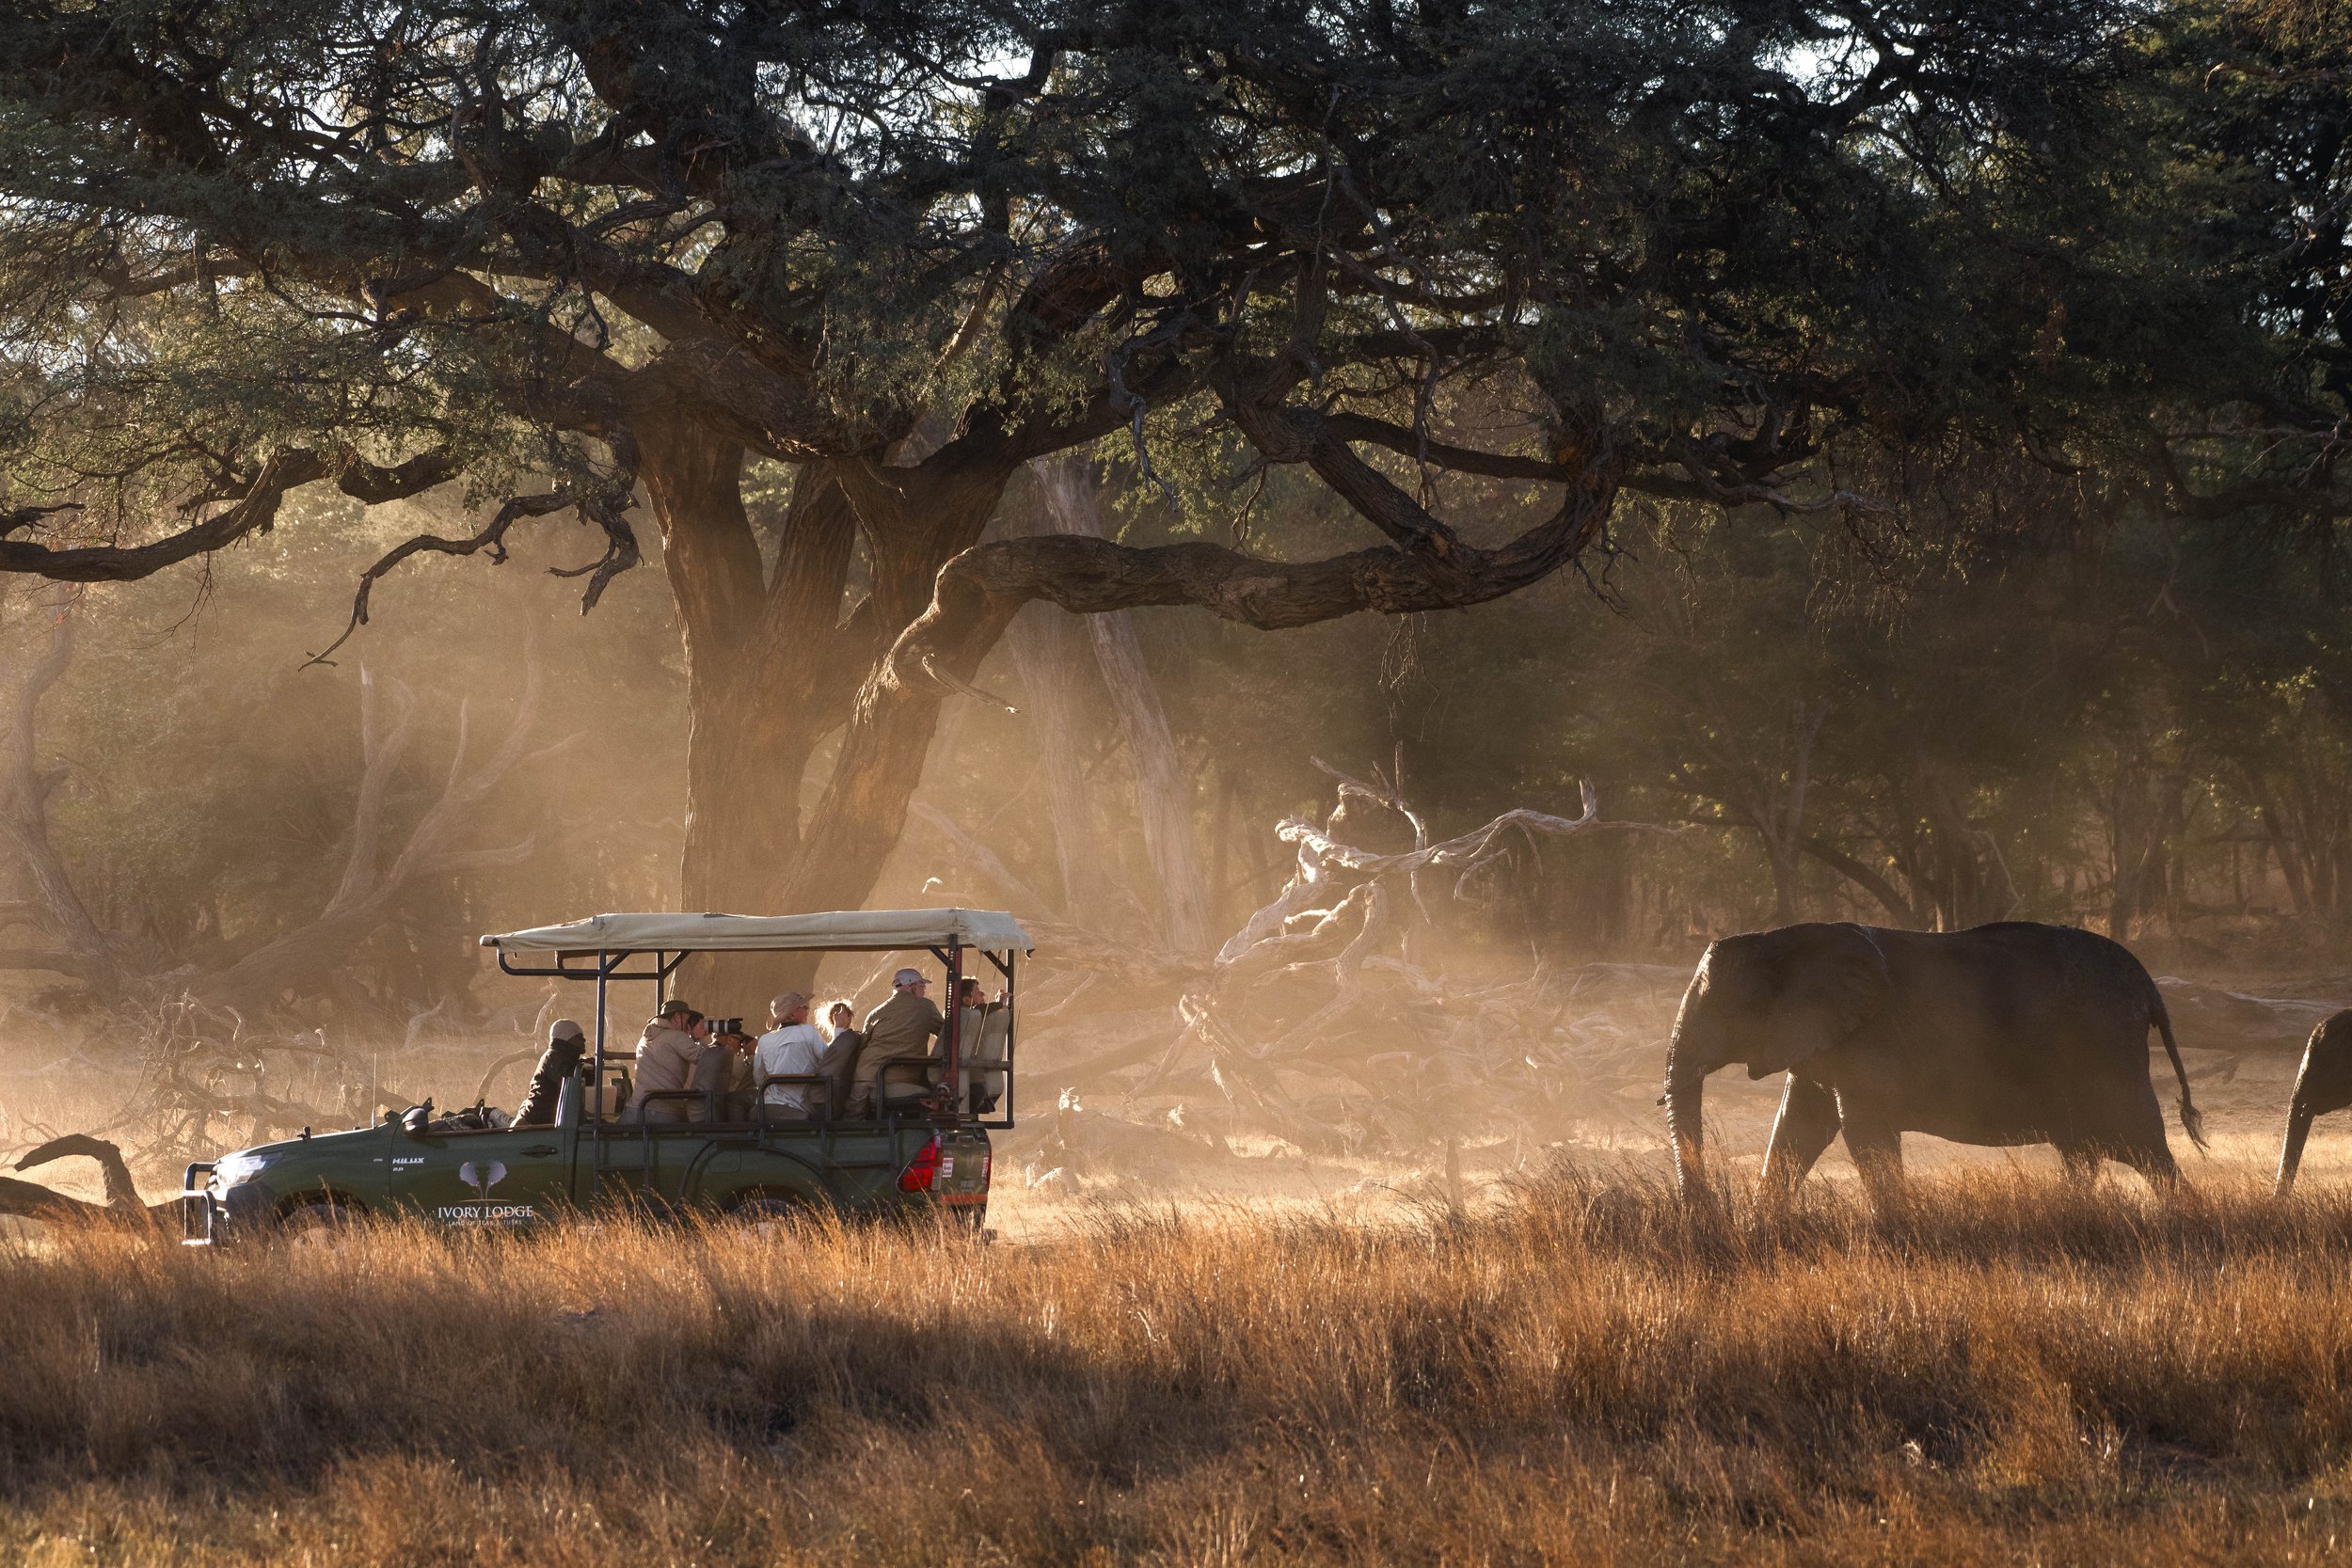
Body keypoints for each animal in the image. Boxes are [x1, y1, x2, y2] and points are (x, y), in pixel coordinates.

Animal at [1665, 921, 2192, 1203]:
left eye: (1722, 1012)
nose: (1706, 1213)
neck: (1782, 938)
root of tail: (2148, 983)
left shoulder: (1869, 1037)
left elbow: (1862, 1130)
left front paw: (1894, 1231)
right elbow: (1798, 1128)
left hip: (2107, 1047)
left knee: (2144, 1146)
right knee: (2089, 1151)